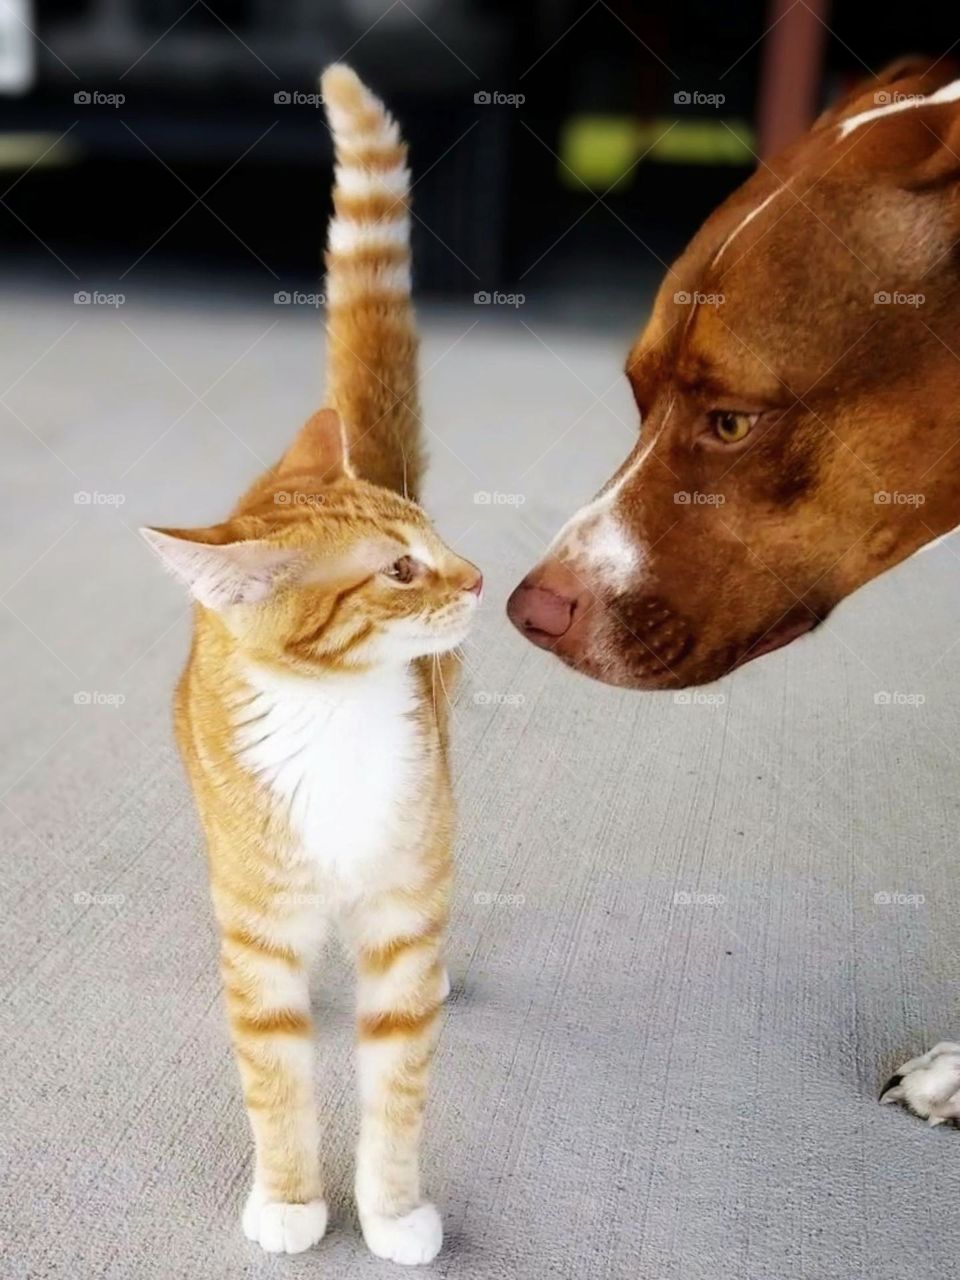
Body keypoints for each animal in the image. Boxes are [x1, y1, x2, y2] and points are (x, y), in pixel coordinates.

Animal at [140, 64, 481, 1264]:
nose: (479, 578)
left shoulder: (402, 906)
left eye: (433, 540)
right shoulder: (260, 933)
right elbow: (277, 1080)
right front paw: (292, 1201)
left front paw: (393, 1210)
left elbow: (399, 1083)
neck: (335, 717)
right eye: (398, 570)